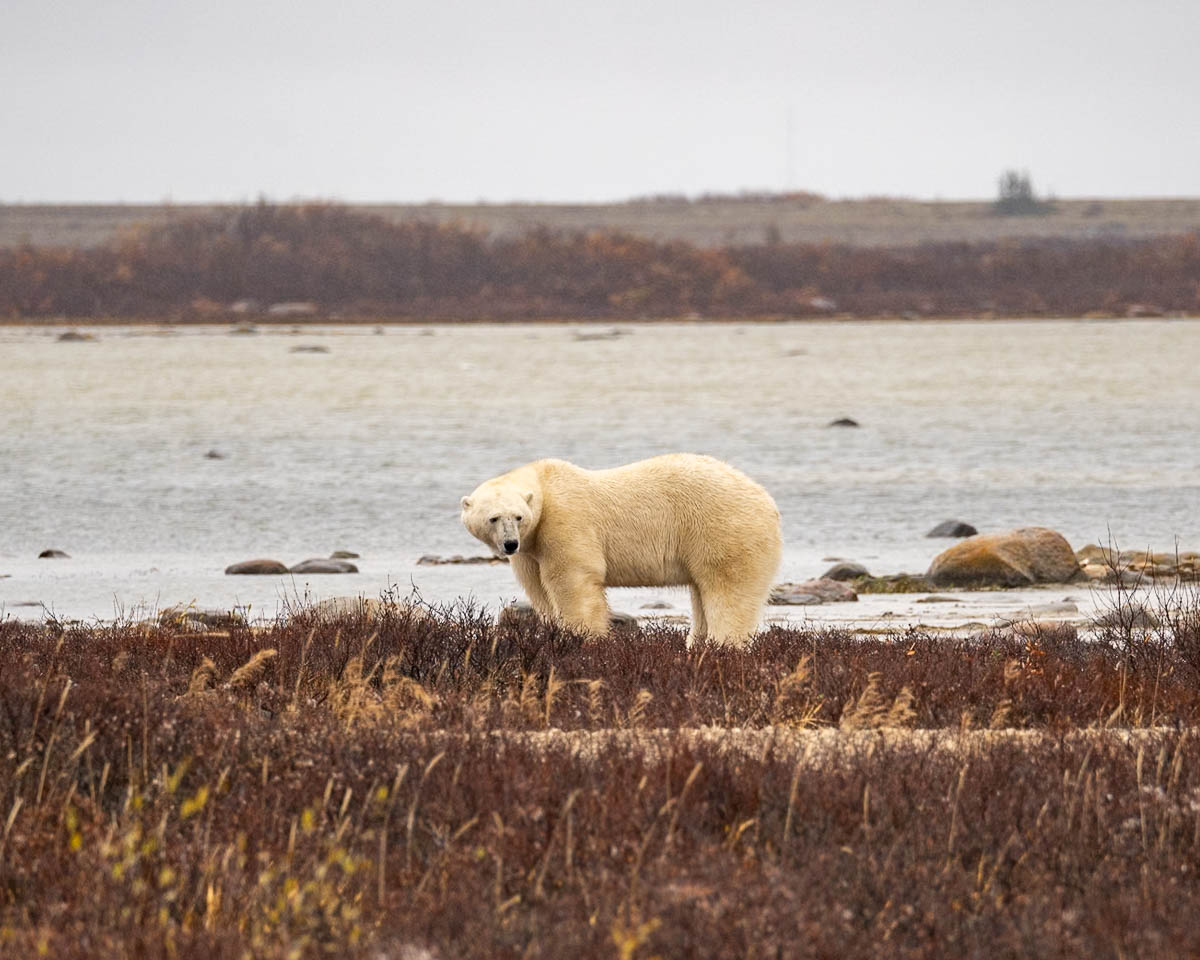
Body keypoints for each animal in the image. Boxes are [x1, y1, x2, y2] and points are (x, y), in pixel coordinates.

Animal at [456, 453, 777, 648]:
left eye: (518, 516)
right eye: (493, 518)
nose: (510, 544)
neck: (545, 486)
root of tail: (767, 500)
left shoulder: (565, 521)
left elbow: (573, 580)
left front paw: (583, 637)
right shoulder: (530, 549)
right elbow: (539, 590)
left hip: (723, 531)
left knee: (729, 591)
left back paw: (723, 645)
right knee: (701, 592)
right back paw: (696, 645)